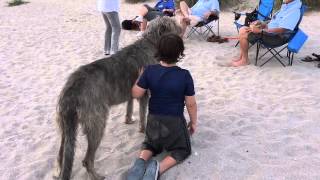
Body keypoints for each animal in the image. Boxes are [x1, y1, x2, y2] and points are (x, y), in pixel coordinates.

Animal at [55, 17, 182, 180]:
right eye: (174, 24)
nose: (183, 28)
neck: (151, 42)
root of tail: (71, 90)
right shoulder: (144, 94)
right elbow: (143, 115)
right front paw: (142, 130)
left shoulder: (131, 92)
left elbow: (129, 107)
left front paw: (128, 120)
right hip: (97, 123)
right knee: (87, 160)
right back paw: (96, 175)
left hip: (65, 125)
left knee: (62, 152)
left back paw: (58, 170)